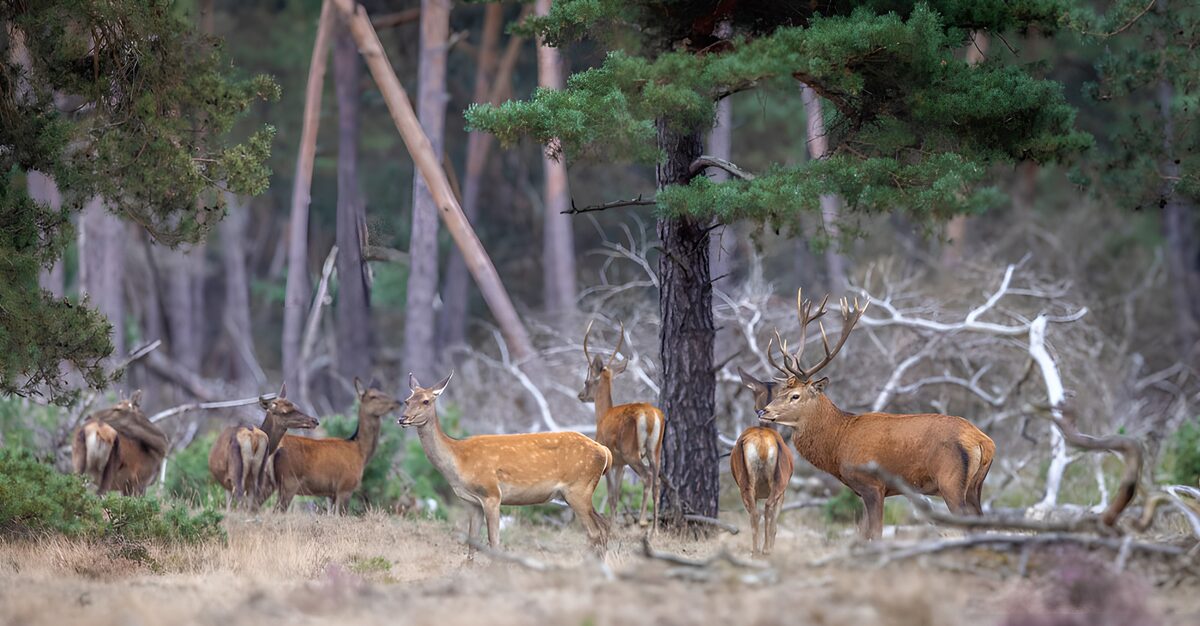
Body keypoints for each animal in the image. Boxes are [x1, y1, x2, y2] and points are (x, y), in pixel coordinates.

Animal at [271, 379, 400, 514]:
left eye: (382, 391)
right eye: (373, 396)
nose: (398, 402)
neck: (360, 451)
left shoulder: (330, 494)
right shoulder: (346, 486)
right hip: (289, 481)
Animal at [400, 372, 611, 554]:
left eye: (426, 401)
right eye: (407, 400)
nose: (402, 418)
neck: (458, 459)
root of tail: (604, 451)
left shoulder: (492, 493)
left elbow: (494, 542)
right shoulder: (472, 502)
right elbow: (472, 542)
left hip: (578, 488)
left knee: (594, 532)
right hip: (580, 492)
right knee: (604, 525)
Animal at [577, 320, 665, 534]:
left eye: (587, 381)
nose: (581, 395)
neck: (602, 416)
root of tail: (650, 416)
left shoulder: (611, 458)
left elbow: (611, 495)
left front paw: (612, 528)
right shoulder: (620, 464)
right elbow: (616, 494)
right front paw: (615, 525)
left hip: (630, 451)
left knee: (647, 476)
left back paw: (642, 521)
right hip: (656, 449)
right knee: (657, 480)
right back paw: (654, 529)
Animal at [754, 289, 996, 540]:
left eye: (795, 396)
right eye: (781, 391)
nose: (763, 411)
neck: (838, 443)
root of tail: (983, 442)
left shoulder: (871, 484)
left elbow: (875, 533)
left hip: (951, 482)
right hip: (975, 487)